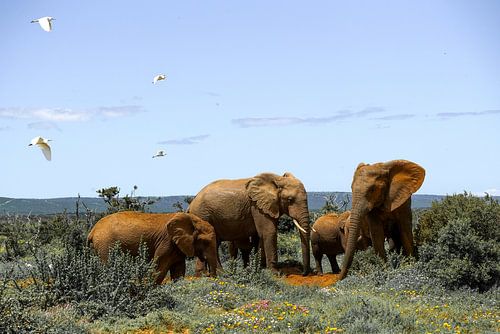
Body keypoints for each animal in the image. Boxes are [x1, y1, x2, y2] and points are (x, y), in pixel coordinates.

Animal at [86, 210, 219, 284]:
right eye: (204, 242)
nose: (208, 275)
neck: (192, 219)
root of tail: (92, 231)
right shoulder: (166, 242)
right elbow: (159, 268)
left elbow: (178, 271)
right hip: (106, 245)